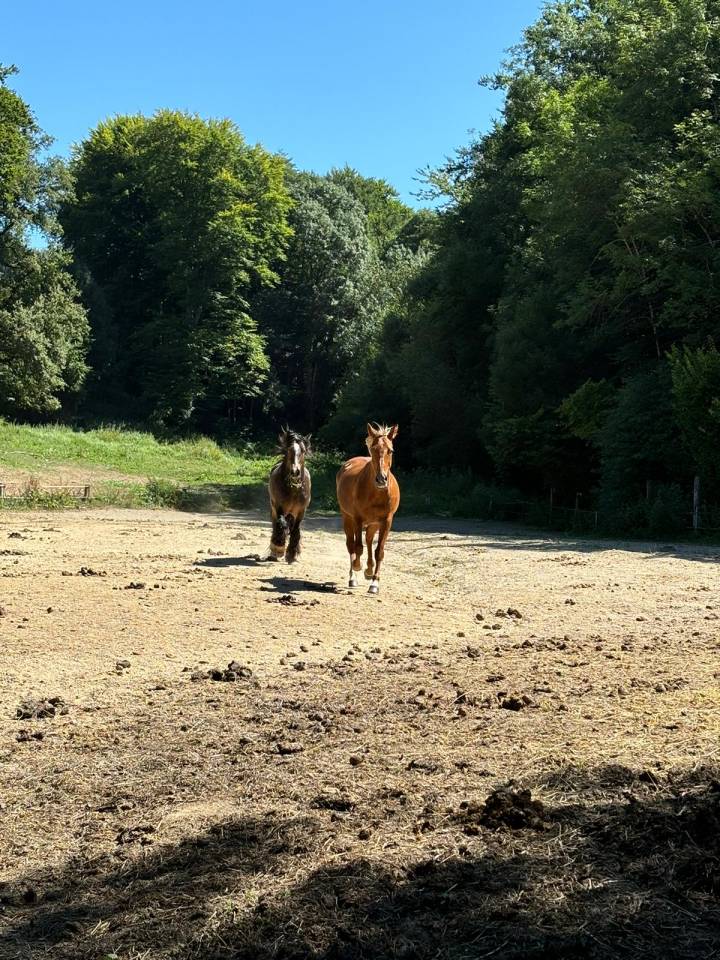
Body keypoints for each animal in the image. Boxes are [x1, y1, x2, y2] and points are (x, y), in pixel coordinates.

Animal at [264, 428, 311, 563]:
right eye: (289, 450)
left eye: (303, 451)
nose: (295, 472)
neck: (294, 489)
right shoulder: (278, 507)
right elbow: (280, 525)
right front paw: (278, 548)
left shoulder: (301, 511)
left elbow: (295, 530)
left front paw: (292, 554)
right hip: (275, 510)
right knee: (277, 525)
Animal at [336, 423, 400, 594]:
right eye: (373, 449)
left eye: (390, 450)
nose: (381, 479)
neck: (377, 493)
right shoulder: (357, 519)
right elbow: (358, 547)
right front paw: (357, 567)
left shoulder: (386, 521)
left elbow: (379, 551)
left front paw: (374, 583)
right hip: (347, 518)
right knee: (351, 544)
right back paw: (353, 577)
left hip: (373, 524)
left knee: (369, 541)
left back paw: (369, 570)